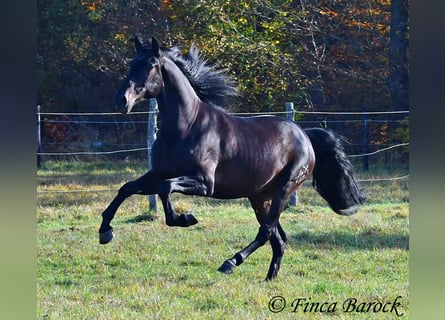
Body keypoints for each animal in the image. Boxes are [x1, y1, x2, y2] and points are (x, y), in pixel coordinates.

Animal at [98, 36, 364, 278]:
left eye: (152, 65)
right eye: (132, 64)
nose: (121, 100)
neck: (186, 126)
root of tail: (305, 136)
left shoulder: (204, 183)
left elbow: (165, 189)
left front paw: (185, 218)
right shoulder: (158, 173)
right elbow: (127, 188)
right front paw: (105, 231)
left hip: (284, 190)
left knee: (266, 232)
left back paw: (230, 263)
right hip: (260, 197)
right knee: (278, 238)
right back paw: (269, 278)